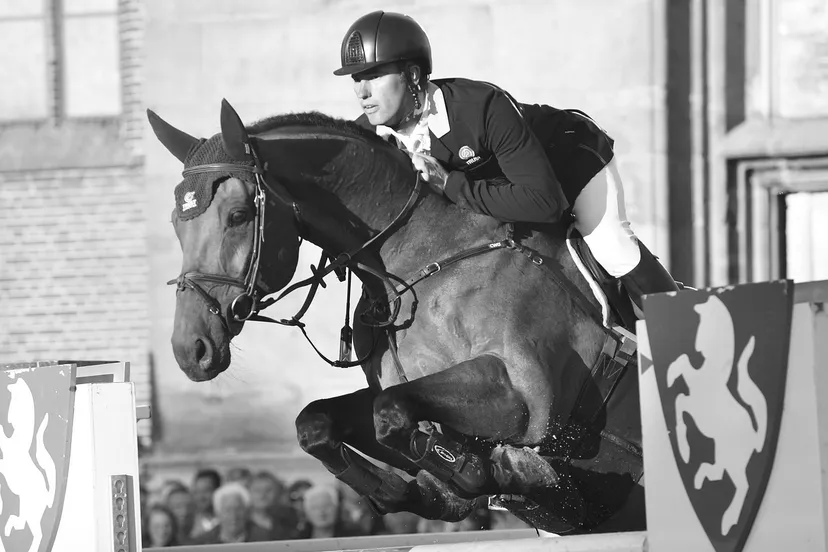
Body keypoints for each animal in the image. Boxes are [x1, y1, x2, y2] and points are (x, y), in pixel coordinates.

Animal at [147, 99, 646, 534]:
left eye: (237, 215)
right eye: (174, 224)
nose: (191, 350)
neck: (422, 259)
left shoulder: (527, 400)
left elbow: (391, 415)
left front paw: (498, 472)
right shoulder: (410, 392)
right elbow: (321, 422)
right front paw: (421, 490)